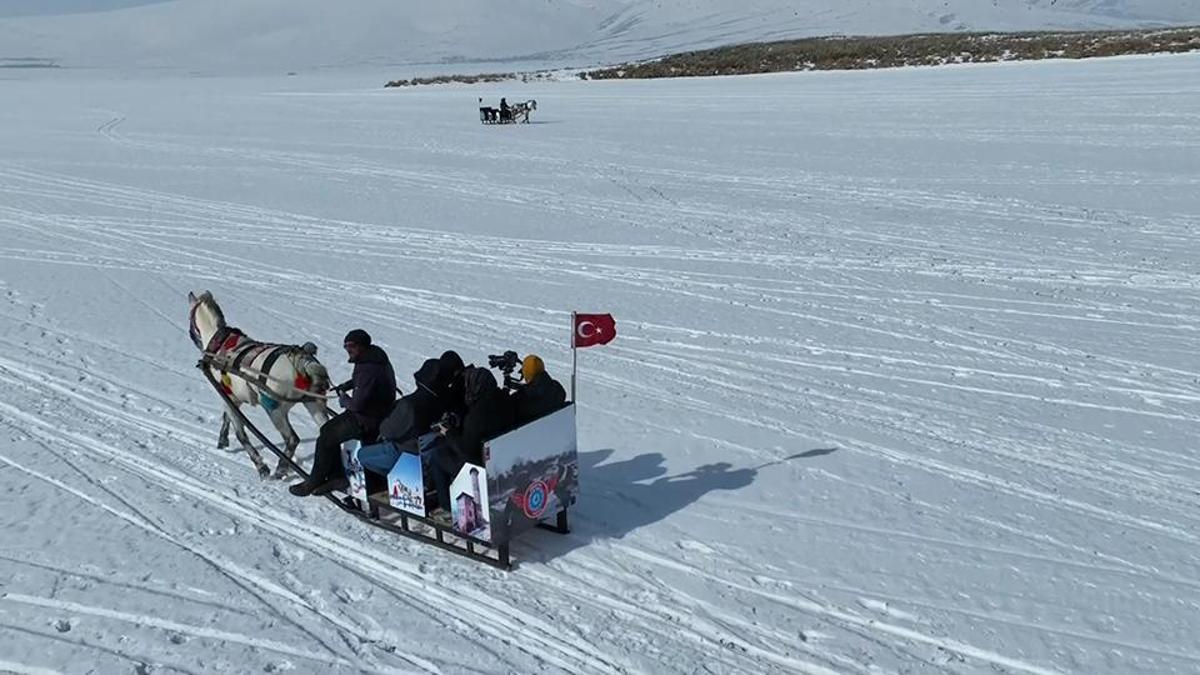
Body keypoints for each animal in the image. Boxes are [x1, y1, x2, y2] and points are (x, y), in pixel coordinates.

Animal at [188, 291, 332, 479]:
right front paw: (222, 440)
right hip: (315, 404)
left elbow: (241, 434)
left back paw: (281, 469)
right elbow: (227, 420)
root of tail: (303, 361)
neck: (220, 347)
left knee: (292, 439)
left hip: (274, 410)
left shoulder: (228, 398)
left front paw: (261, 466)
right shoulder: (233, 399)